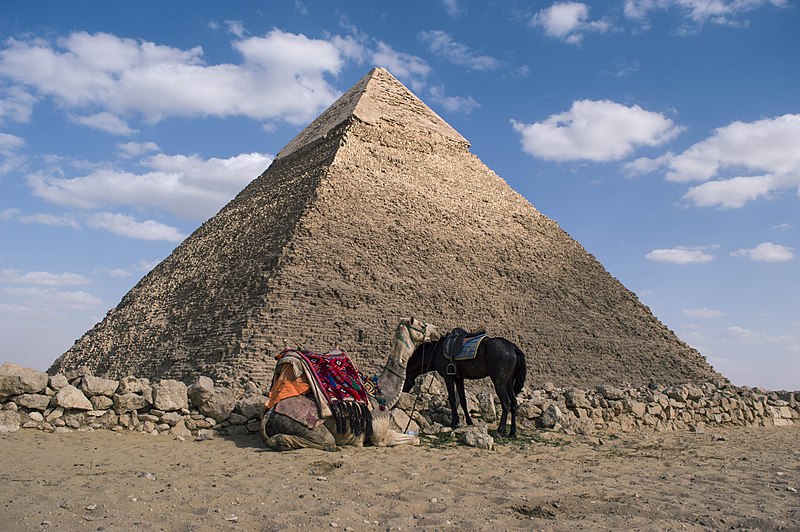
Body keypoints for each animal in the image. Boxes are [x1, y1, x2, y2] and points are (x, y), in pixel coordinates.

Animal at [260, 318, 440, 450]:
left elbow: (414, 437)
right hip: (302, 424)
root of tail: (270, 412)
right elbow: (415, 439)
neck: (380, 394)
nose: (437, 331)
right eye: (421, 324)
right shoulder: (380, 437)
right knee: (327, 442)